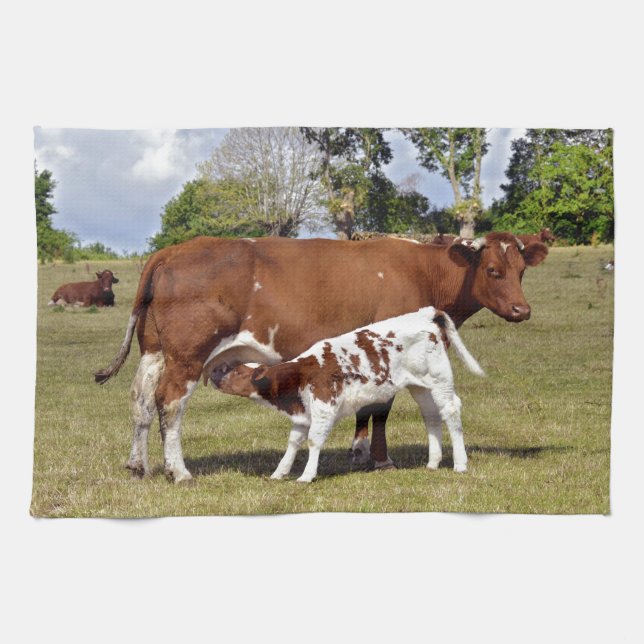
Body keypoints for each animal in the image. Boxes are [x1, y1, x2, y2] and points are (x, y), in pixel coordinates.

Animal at [208, 307, 484, 482]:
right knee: (431, 416)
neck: (300, 376)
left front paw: (306, 476)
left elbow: (313, 441)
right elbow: (293, 443)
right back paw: (432, 463)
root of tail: (425, 314)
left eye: (238, 372)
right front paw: (279, 473)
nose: (214, 373)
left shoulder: (323, 407)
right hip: (420, 386)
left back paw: (460, 464)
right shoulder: (303, 412)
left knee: (451, 411)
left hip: (440, 380)